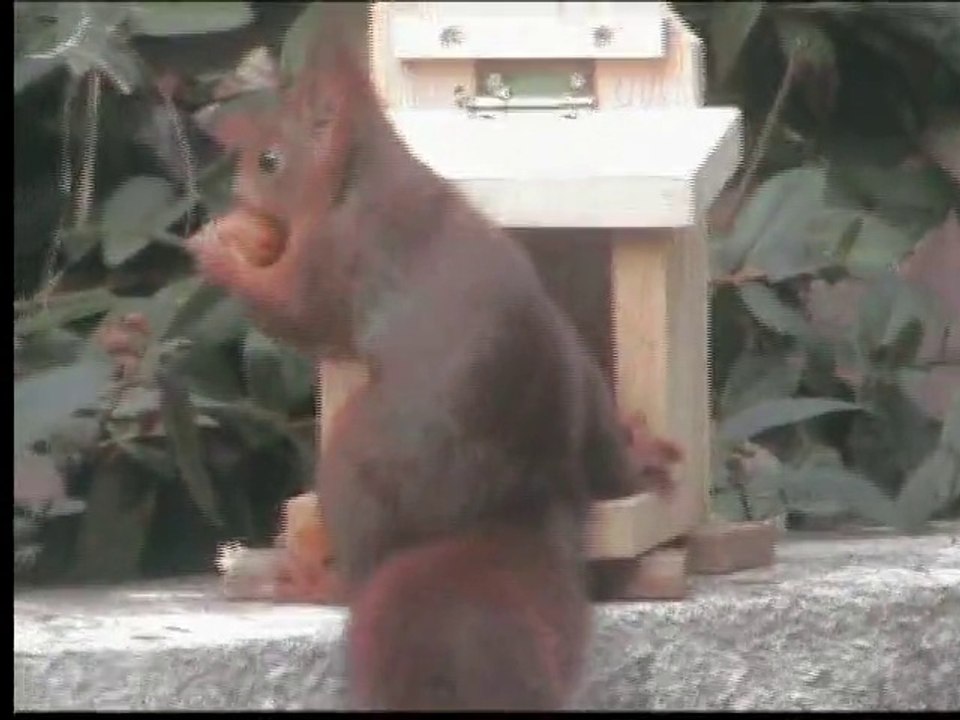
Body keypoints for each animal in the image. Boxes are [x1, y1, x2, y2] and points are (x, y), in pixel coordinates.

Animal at [188, 36, 678, 710]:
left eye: (270, 161)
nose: (236, 197)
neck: (362, 179)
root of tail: (516, 499)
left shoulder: (339, 255)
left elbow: (297, 312)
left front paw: (214, 251)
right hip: (587, 390)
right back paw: (643, 453)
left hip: (354, 465)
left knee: (353, 577)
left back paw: (298, 579)